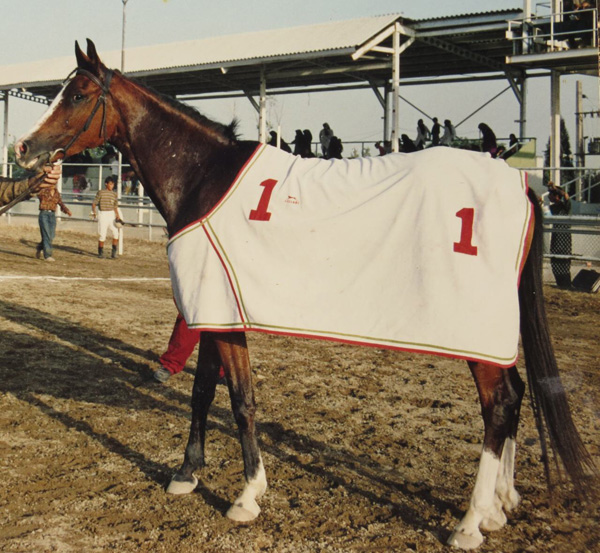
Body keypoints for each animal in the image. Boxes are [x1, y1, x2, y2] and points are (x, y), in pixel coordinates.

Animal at [14, 41, 596, 548]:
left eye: (78, 94)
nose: (23, 148)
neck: (202, 176)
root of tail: (521, 185)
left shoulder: (222, 316)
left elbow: (242, 400)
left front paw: (247, 495)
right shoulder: (214, 311)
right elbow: (203, 392)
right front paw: (186, 474)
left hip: (474, 333)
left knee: (500, 405)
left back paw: (471, 522)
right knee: (517, 395)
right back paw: (500, 505)